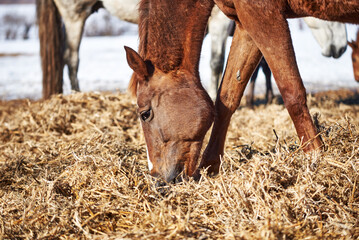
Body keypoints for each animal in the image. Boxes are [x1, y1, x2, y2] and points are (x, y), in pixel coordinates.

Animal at [126, 0, 359, 183]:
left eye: (145, 114)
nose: (158, 180)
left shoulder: (262, 13)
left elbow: (291, 91)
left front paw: (316, 158)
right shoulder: (244, 21)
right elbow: (227, 97)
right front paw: (209, 167)